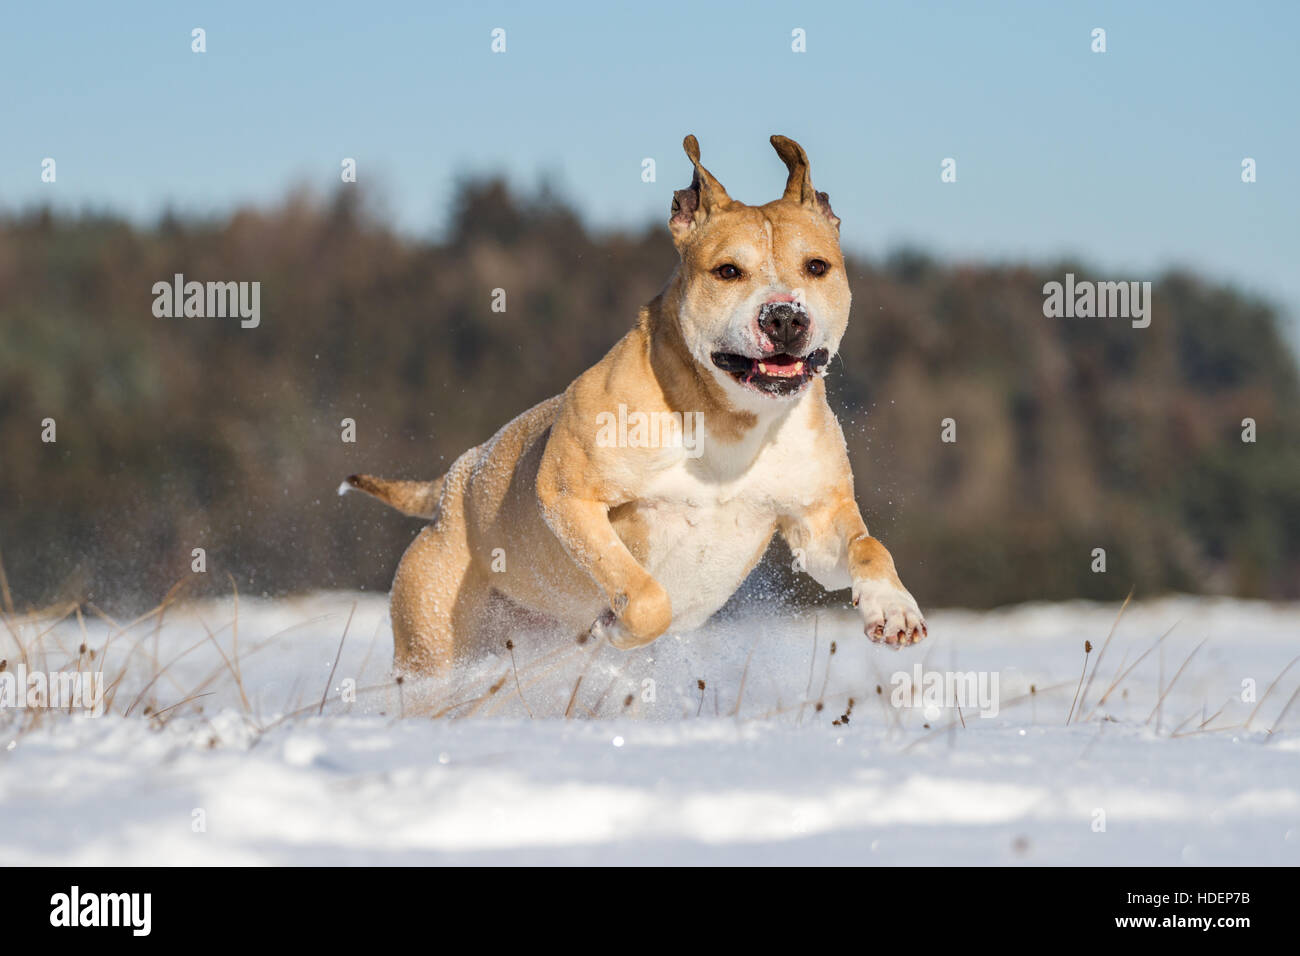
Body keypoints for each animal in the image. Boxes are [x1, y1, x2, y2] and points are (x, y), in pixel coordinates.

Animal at [345, 134, 925, 676]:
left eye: (817, 266)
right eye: (728, 271)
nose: (784, 316)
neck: (731, 415)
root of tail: (450, 487)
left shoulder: (815, 519)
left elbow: (867, 546)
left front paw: (892, 607)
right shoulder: (568, 495)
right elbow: (646, 597)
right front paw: (615, 626)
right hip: (433, 633)